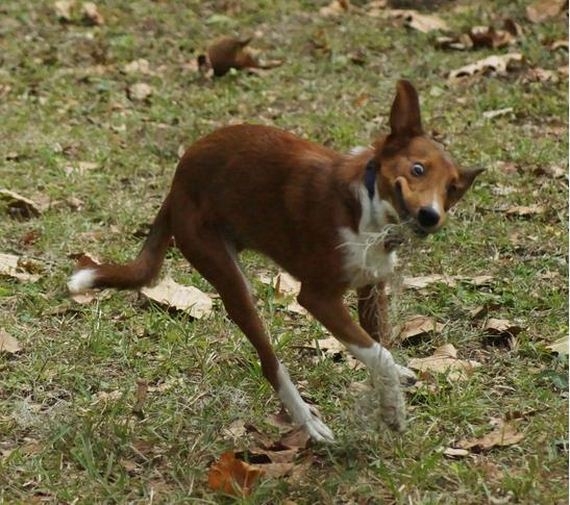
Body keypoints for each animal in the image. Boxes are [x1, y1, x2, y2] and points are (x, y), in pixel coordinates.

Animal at [69, 80, 482, 440]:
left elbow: (378, 350)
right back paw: (306, 421)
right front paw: (393, 408)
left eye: (451, 191)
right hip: (229, 277)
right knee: (269, 362)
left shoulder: (371, 288)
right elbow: (376, 353)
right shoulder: (318, 298)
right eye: (417, 169)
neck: (367, 210)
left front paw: (389, 399)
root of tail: (176, 187)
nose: (431, 216)